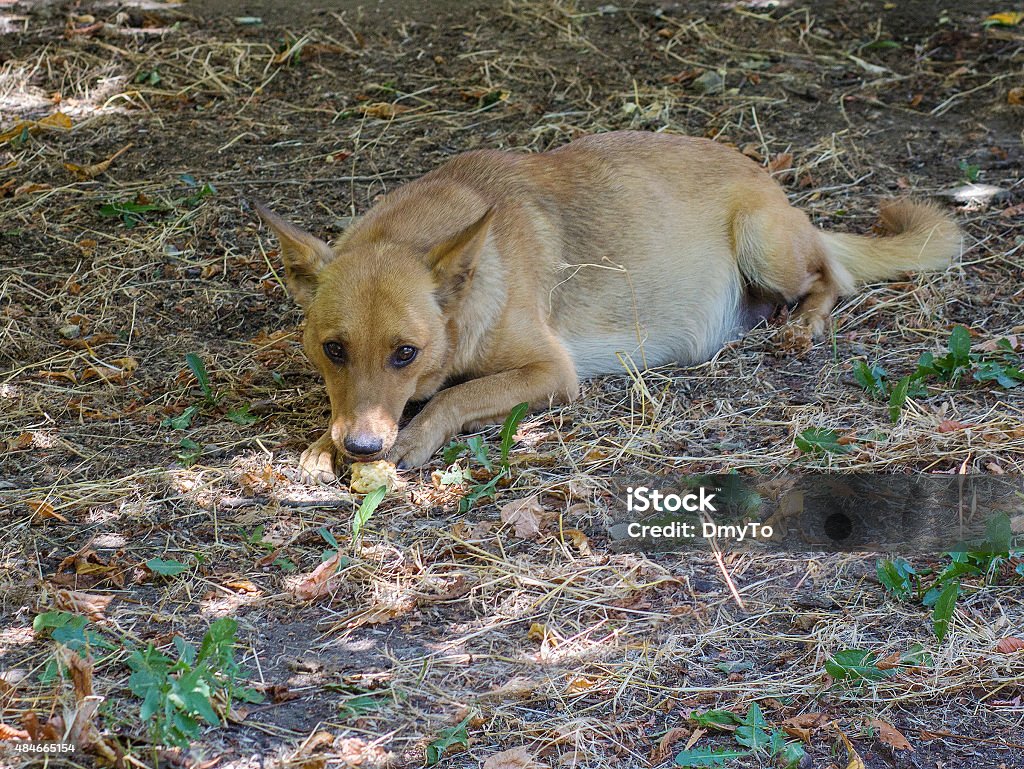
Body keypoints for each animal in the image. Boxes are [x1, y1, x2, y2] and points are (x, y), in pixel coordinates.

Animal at [256, 132, 958, 481]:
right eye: (333, 349)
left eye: (406, 353)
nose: (364, 449)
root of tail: (771, 182)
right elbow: (350, 407)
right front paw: (322, 443)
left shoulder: (551, 372)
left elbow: (454, 398)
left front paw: (413, 437)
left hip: (765, 243)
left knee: (832, 277)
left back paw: (803, 325)